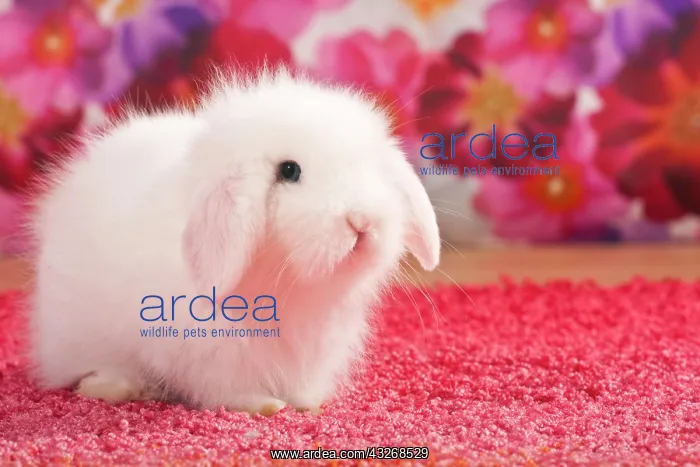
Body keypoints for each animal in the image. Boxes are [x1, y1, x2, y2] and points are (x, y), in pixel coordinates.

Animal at [27, 66, 441, 416]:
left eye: (369, 167)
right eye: (289, 171)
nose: (363, 220)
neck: (289, 289)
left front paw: (309, 403)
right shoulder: (203, 355)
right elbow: (226, 391)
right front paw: (266, 406)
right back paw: (116, 386)